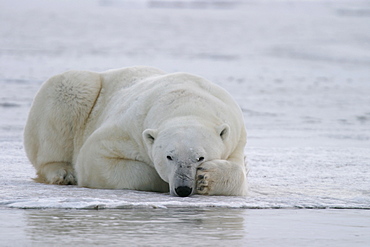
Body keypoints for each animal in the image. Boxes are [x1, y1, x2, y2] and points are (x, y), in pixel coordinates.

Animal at [23, 66, 249, 197]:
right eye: (169, 156)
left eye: (200, 157)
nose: (183, 188)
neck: (188, 103)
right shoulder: (129, 129)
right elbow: (94, 158)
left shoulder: (235, 137)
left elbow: (239, 173)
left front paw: (206, 178)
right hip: (76, 91)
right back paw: (63, 173)